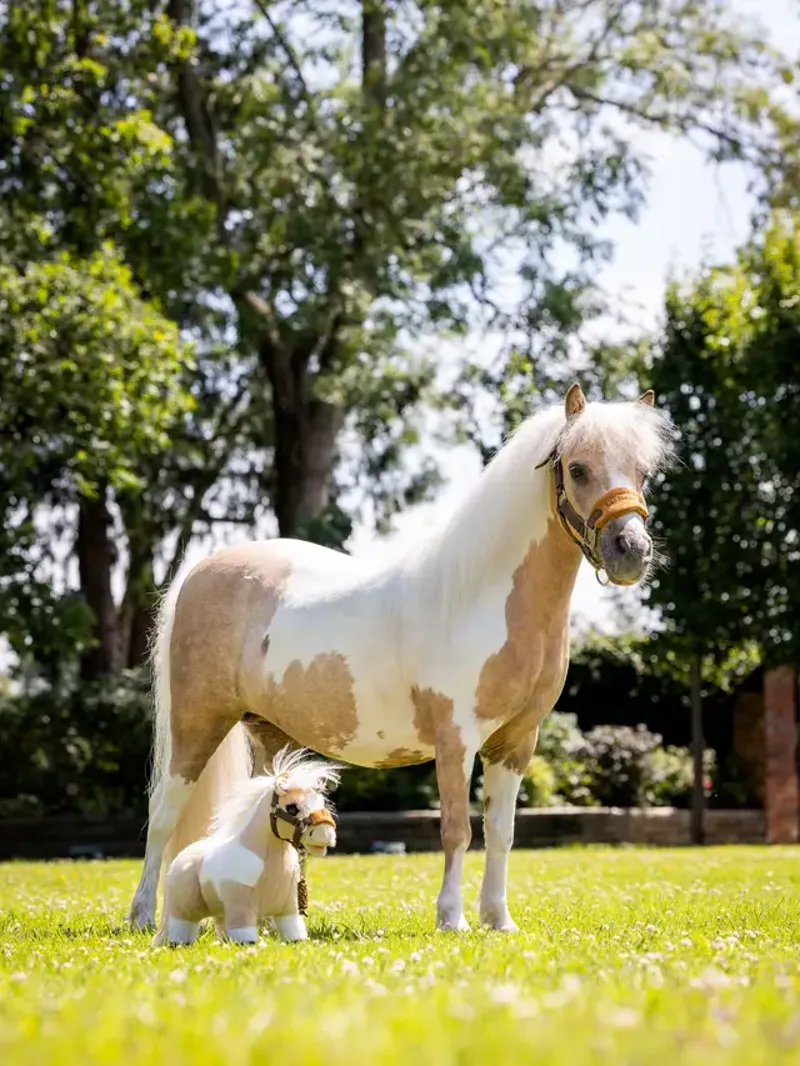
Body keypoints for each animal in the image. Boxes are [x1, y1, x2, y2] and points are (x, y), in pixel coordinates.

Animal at [152, 748, 339, 946]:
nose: (326, 835)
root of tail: (181, 856)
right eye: (292, 808)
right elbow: (245, 935)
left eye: (321, 802)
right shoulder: (241, 907)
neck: (271, 861)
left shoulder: (287, 909)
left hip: (220, 910)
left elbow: (294, 933)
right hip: (184, 908)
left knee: (221, 925)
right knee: (182, 925)